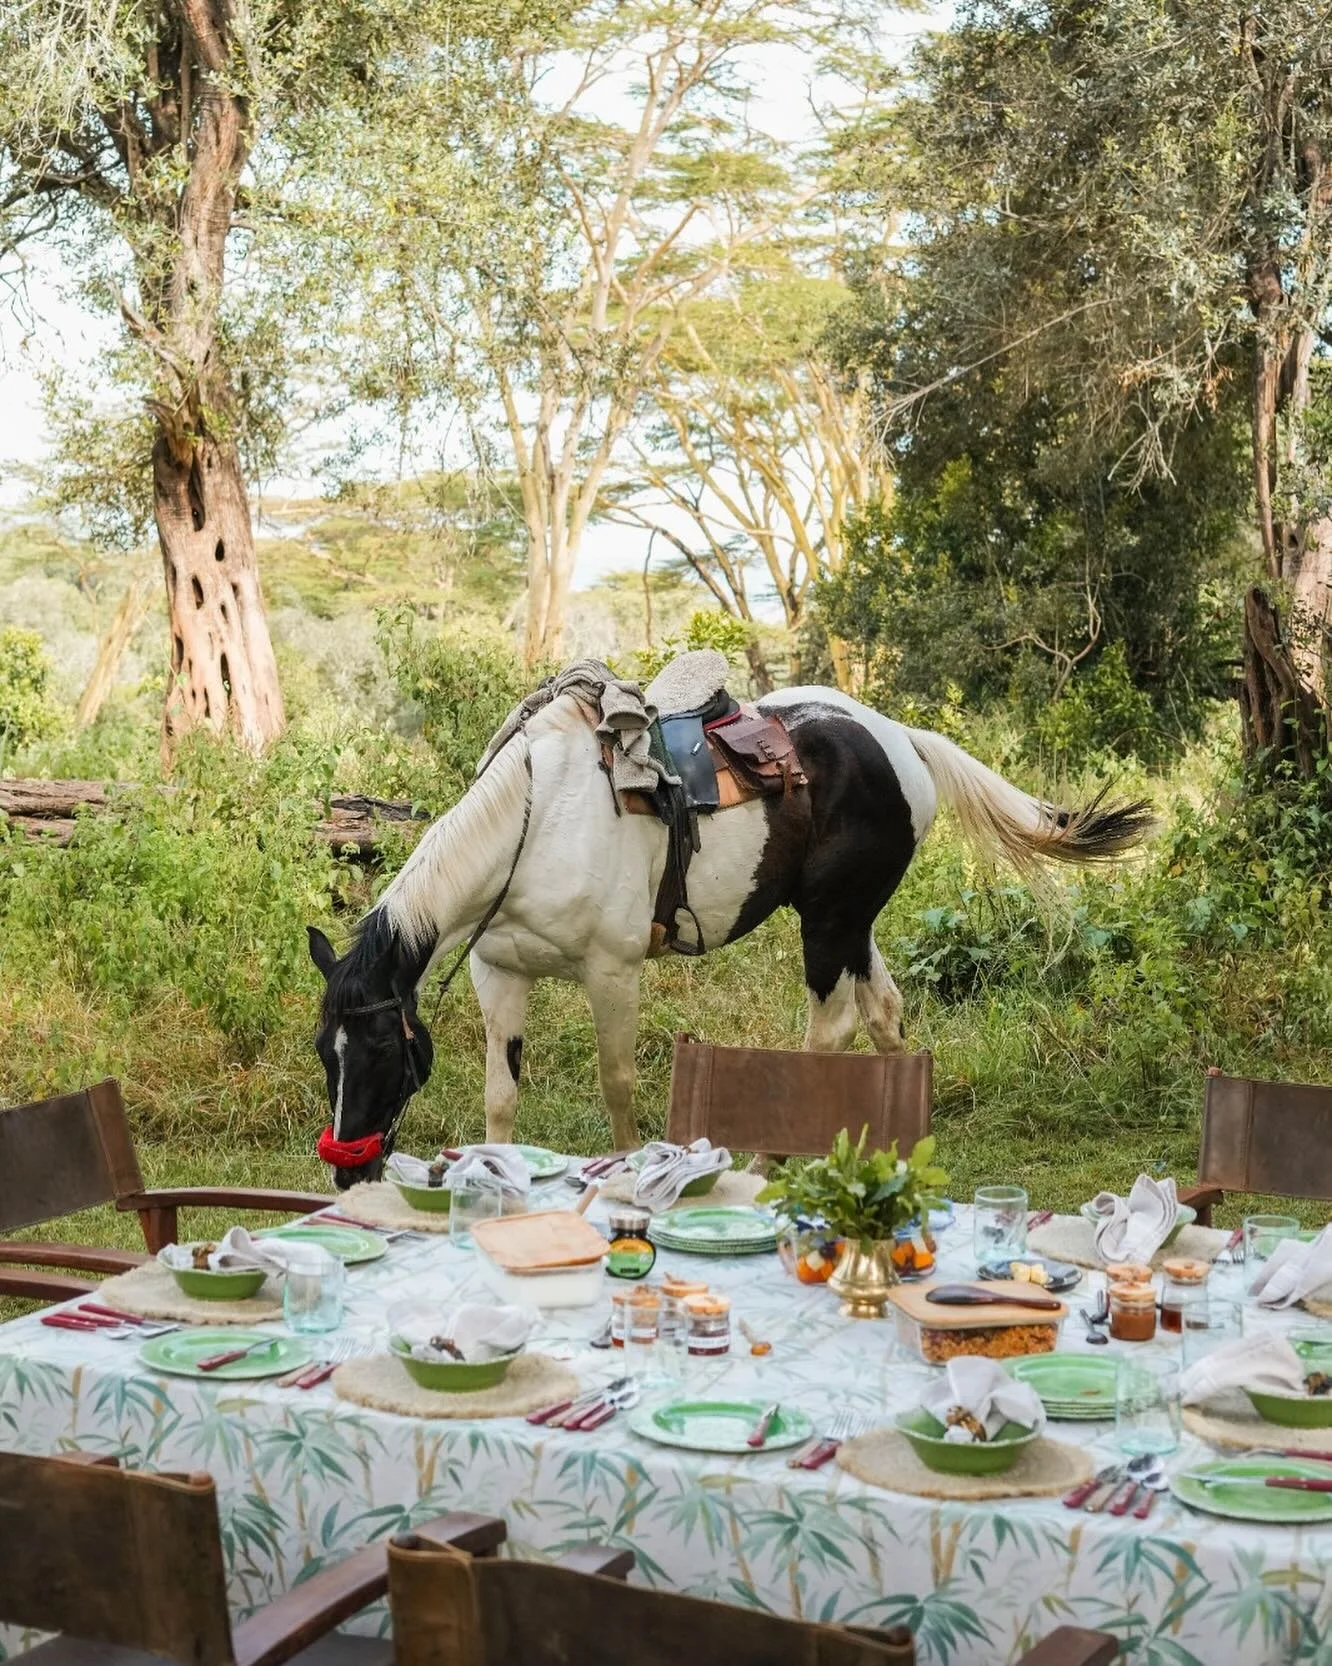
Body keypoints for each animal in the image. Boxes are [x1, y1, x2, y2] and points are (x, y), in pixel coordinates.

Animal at [307, 681, 1151, 1188]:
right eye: (326, 1053)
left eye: (379, 1051)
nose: (348, 1171)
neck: (535, 820)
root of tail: (900, 738)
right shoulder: (500, 974)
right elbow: (501, 1096)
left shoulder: (612, 971)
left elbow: (617, 1084)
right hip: (853, 919)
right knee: (884, 1013)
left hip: (828, 922)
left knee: (831, 1029)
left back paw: (769, 1156)